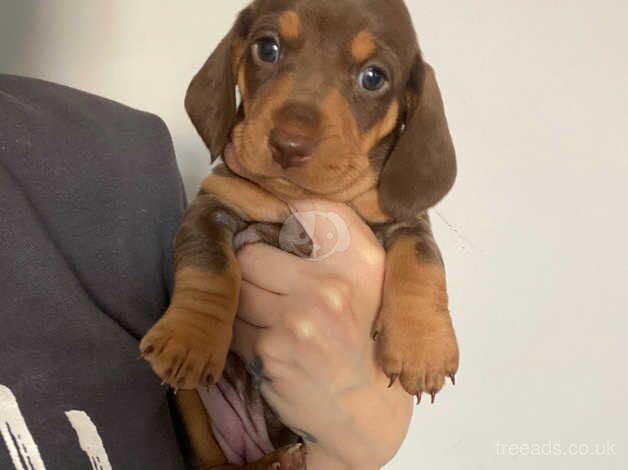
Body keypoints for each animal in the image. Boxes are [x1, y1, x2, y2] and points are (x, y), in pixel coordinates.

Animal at [140, 0, 458, 466]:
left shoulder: (406, 222)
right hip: (192, 405)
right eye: (267, 49)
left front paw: (424, 346)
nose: (289, 144)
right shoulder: (214, 205)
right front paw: (190, 338)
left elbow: (422, 264)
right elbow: (210, 270)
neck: (300, 197)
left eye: (373, 77)